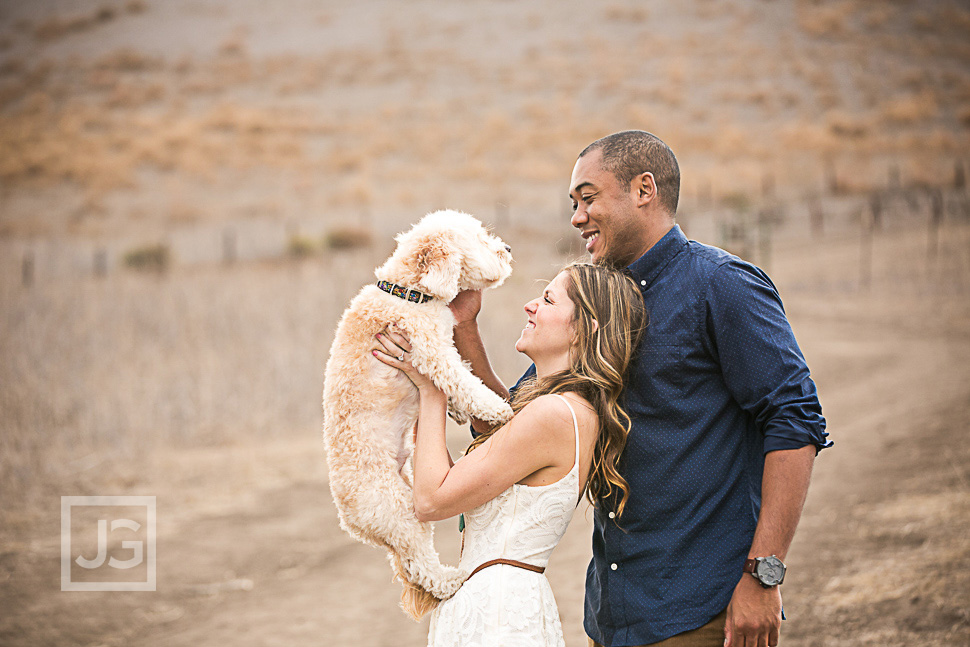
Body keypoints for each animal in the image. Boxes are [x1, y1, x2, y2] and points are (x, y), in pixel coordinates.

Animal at [322, 210, 516, 620]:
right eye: (479, 238)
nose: (507, 248)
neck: (409, 292)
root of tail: (348, 520)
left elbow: (458, 383)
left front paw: (459, 412)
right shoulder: (431, 351)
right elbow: (463, 380)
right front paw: (496, 409)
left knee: (410, 564)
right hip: (399, 512)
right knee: (419, 566)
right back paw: (450, 581)